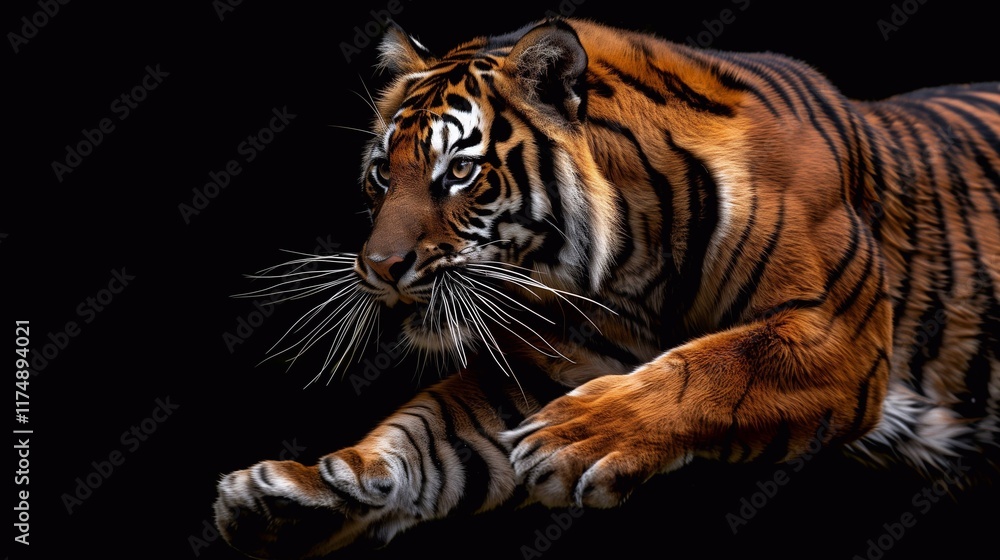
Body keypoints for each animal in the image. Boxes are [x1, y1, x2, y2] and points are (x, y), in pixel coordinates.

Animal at [213, 16, 1000, 559]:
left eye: (459, 172)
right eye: (383, 172)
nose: (379, 266)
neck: (628, 273)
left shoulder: (837, 331)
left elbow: (711, 366)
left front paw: (577, 436)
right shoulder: (541, 371)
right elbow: (427, 435)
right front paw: (296, 497)